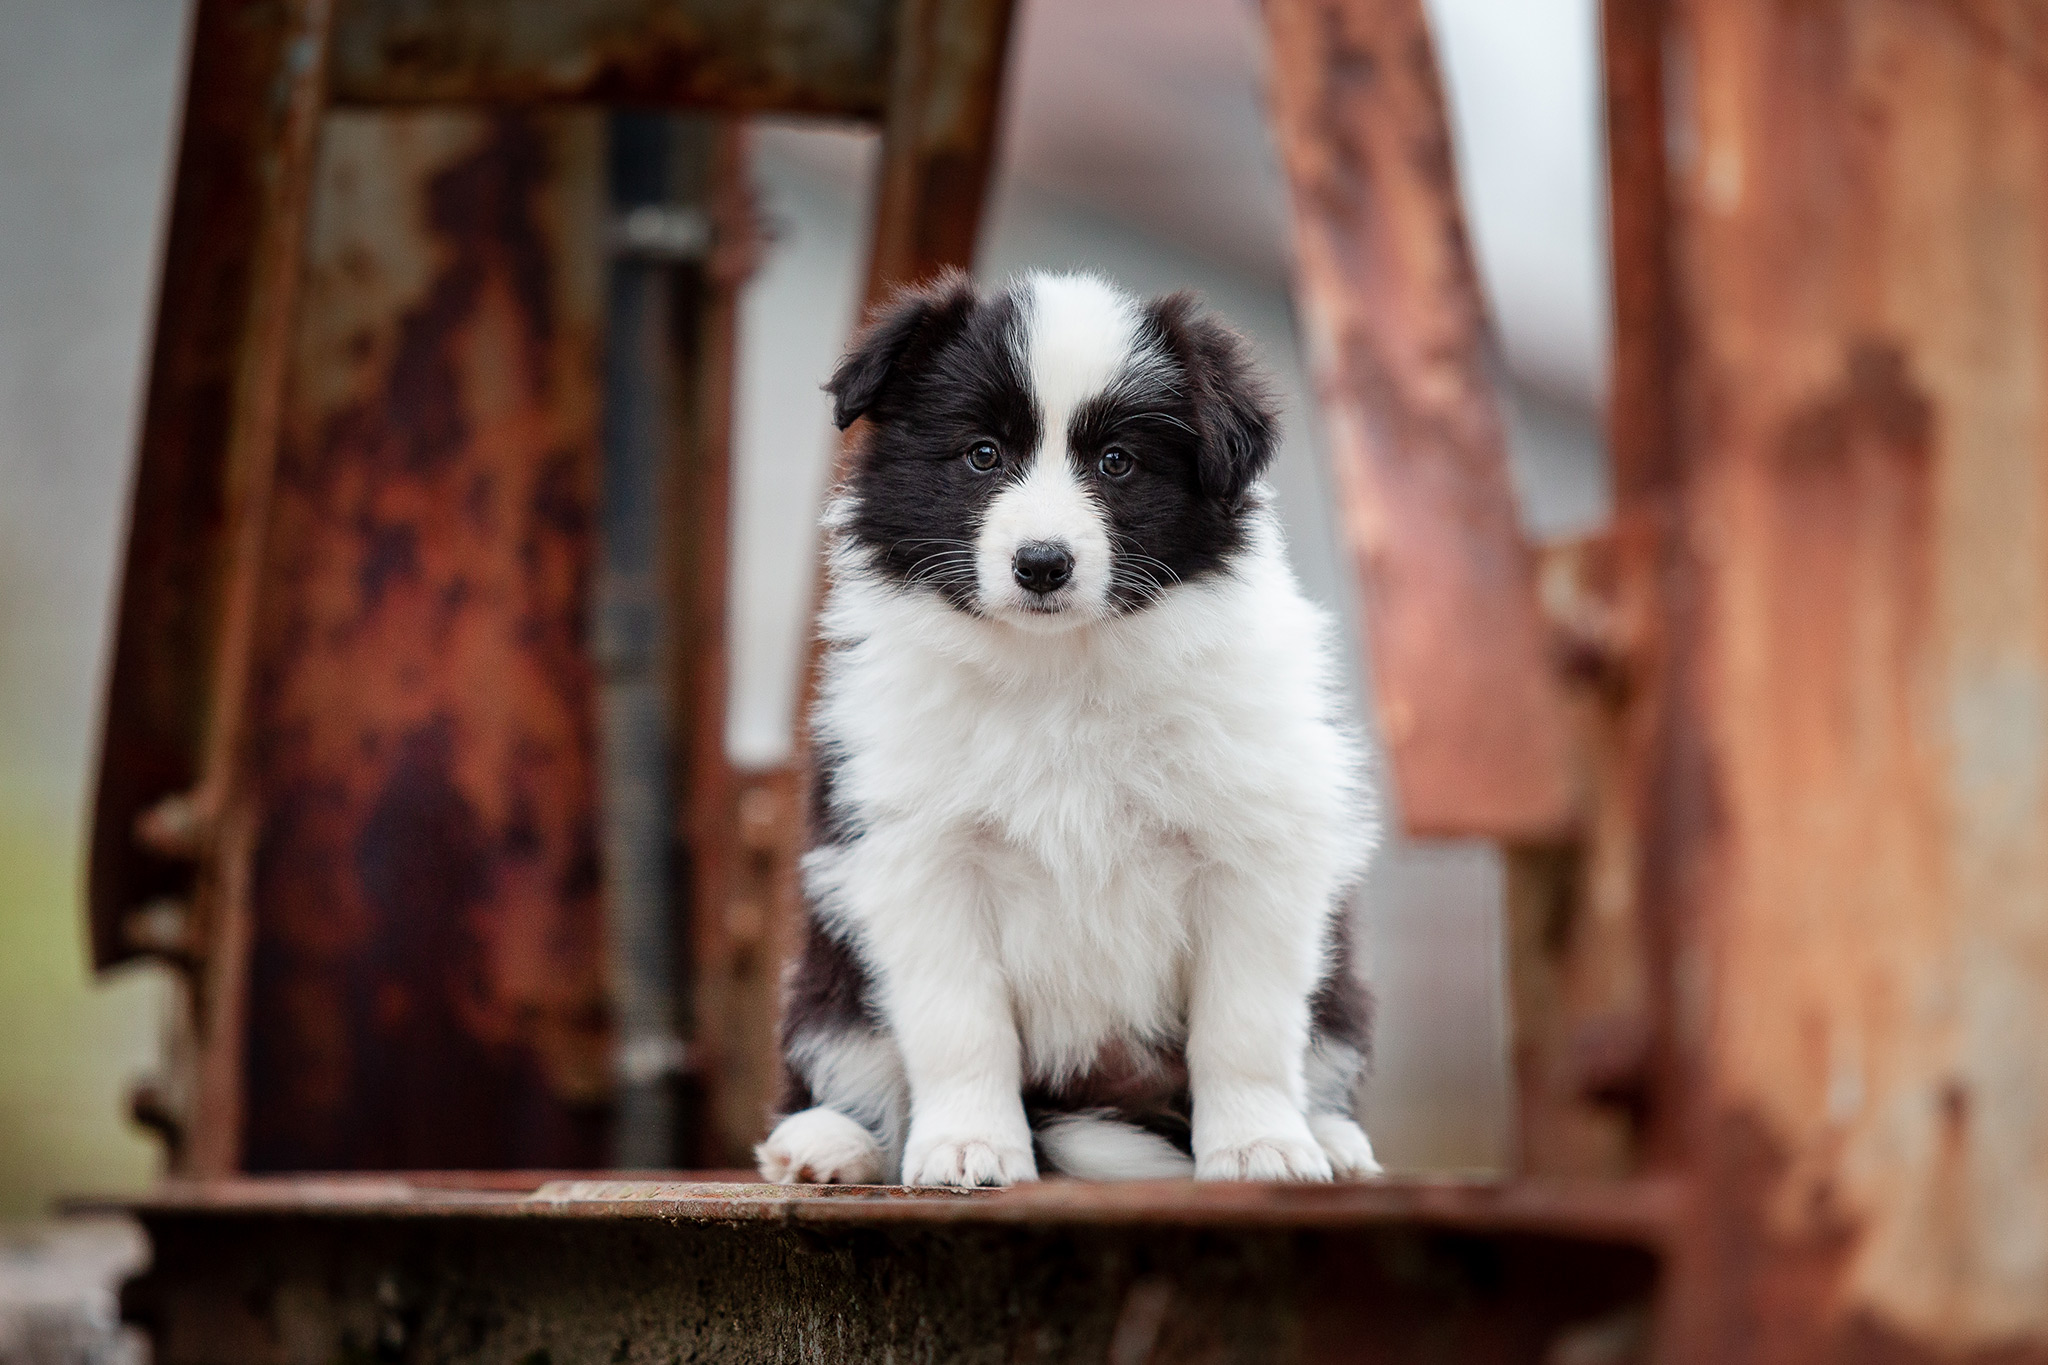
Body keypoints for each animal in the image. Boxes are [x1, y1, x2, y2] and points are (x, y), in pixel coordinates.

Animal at [761, 270, 1384, 1186]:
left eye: (1117, 462)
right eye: (983, 454)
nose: (1043, 564)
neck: (1059, 669)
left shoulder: (1256, 848)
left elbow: (1245, 1023)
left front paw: (1258, 1147)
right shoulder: (916, 856)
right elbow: (959, 1022)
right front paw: (970, 1145)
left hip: (1339, 988)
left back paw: (1332, 1138)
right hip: (829, 968)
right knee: (847, 1049)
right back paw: (830, 1141)